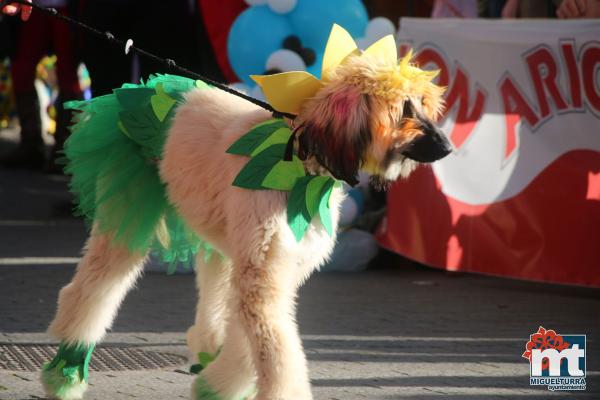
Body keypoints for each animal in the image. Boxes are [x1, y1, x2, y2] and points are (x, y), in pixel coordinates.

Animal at [42, 25, 452, 400]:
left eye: (421, 103)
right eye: (403, 109)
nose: (447, 147)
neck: (300, 162)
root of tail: (135, 90)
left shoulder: (273, 268)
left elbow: (250, 339)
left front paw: (218, 385)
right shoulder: (263, 272)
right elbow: (277, 349)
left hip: (222, 240)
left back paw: (204, 348)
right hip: (129, 212)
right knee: (92, 290)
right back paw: (66, 372)